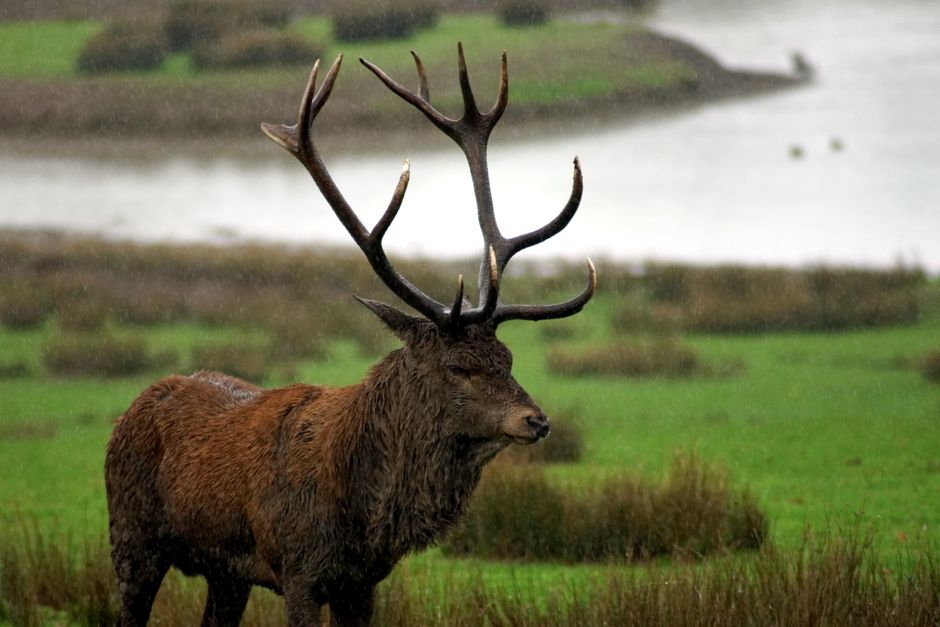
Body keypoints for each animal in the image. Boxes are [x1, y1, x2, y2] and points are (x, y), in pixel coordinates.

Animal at [105, 44, 595, 627]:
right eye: (459, 366)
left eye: (508, 358)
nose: (536, 420)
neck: (364, 517)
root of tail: (134, 405)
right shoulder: (298, 569)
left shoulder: (361, 583)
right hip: (131, 538)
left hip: (226, 572)